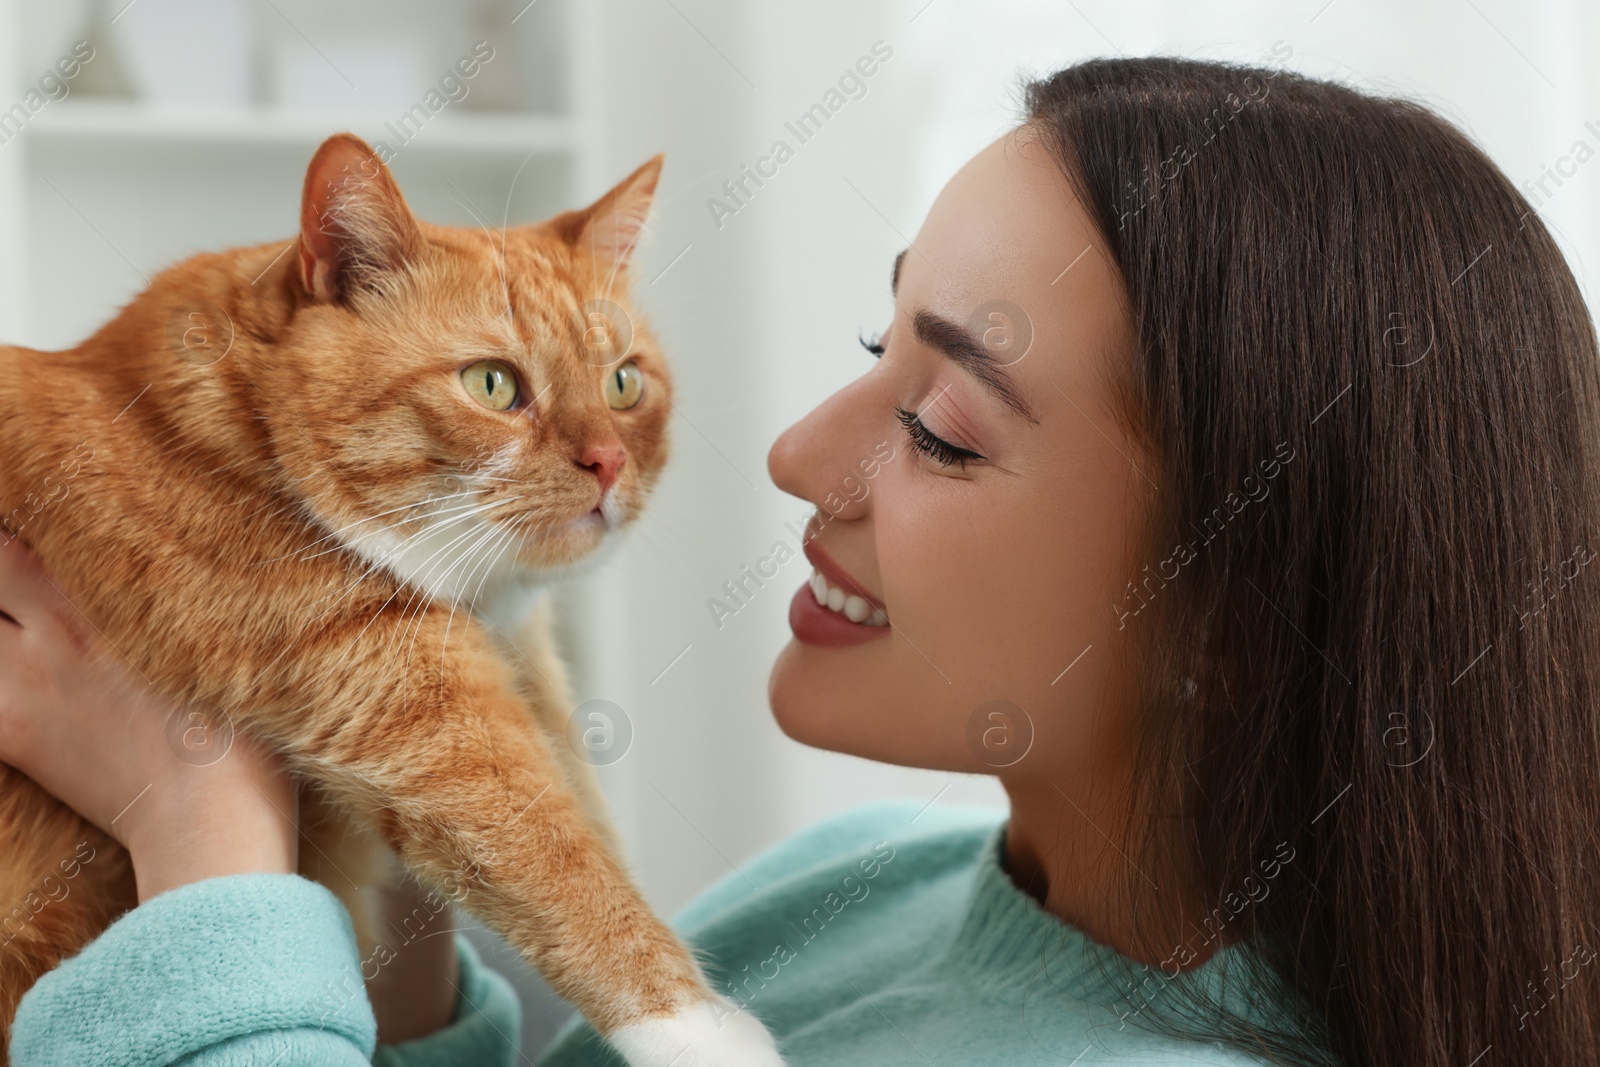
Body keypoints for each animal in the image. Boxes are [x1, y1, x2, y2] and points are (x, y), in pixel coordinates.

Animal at [0, 135, 780, 1067]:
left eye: (624, 384)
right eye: (492, 384)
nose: (608, 462)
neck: (237, 431)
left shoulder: (523, 670)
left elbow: (592, 815)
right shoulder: (412, 707)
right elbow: (569, 867)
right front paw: (710, 1031)